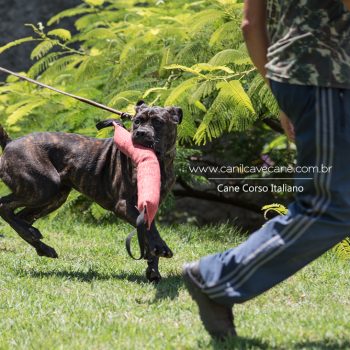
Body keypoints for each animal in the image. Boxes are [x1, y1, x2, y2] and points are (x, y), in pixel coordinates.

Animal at [0, 100, 180, 282]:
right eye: (137, 121)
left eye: (158, 122)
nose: (140, 132)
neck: (160, 164)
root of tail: (10, 143)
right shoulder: (123, 205)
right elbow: (150, 231)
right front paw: (161, 247)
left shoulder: (149, 208)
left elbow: (148, 233)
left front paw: (153, 269)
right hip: (44, 187)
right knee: (4, 206)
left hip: (55, 197)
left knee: (22, 216)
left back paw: (40, 244)